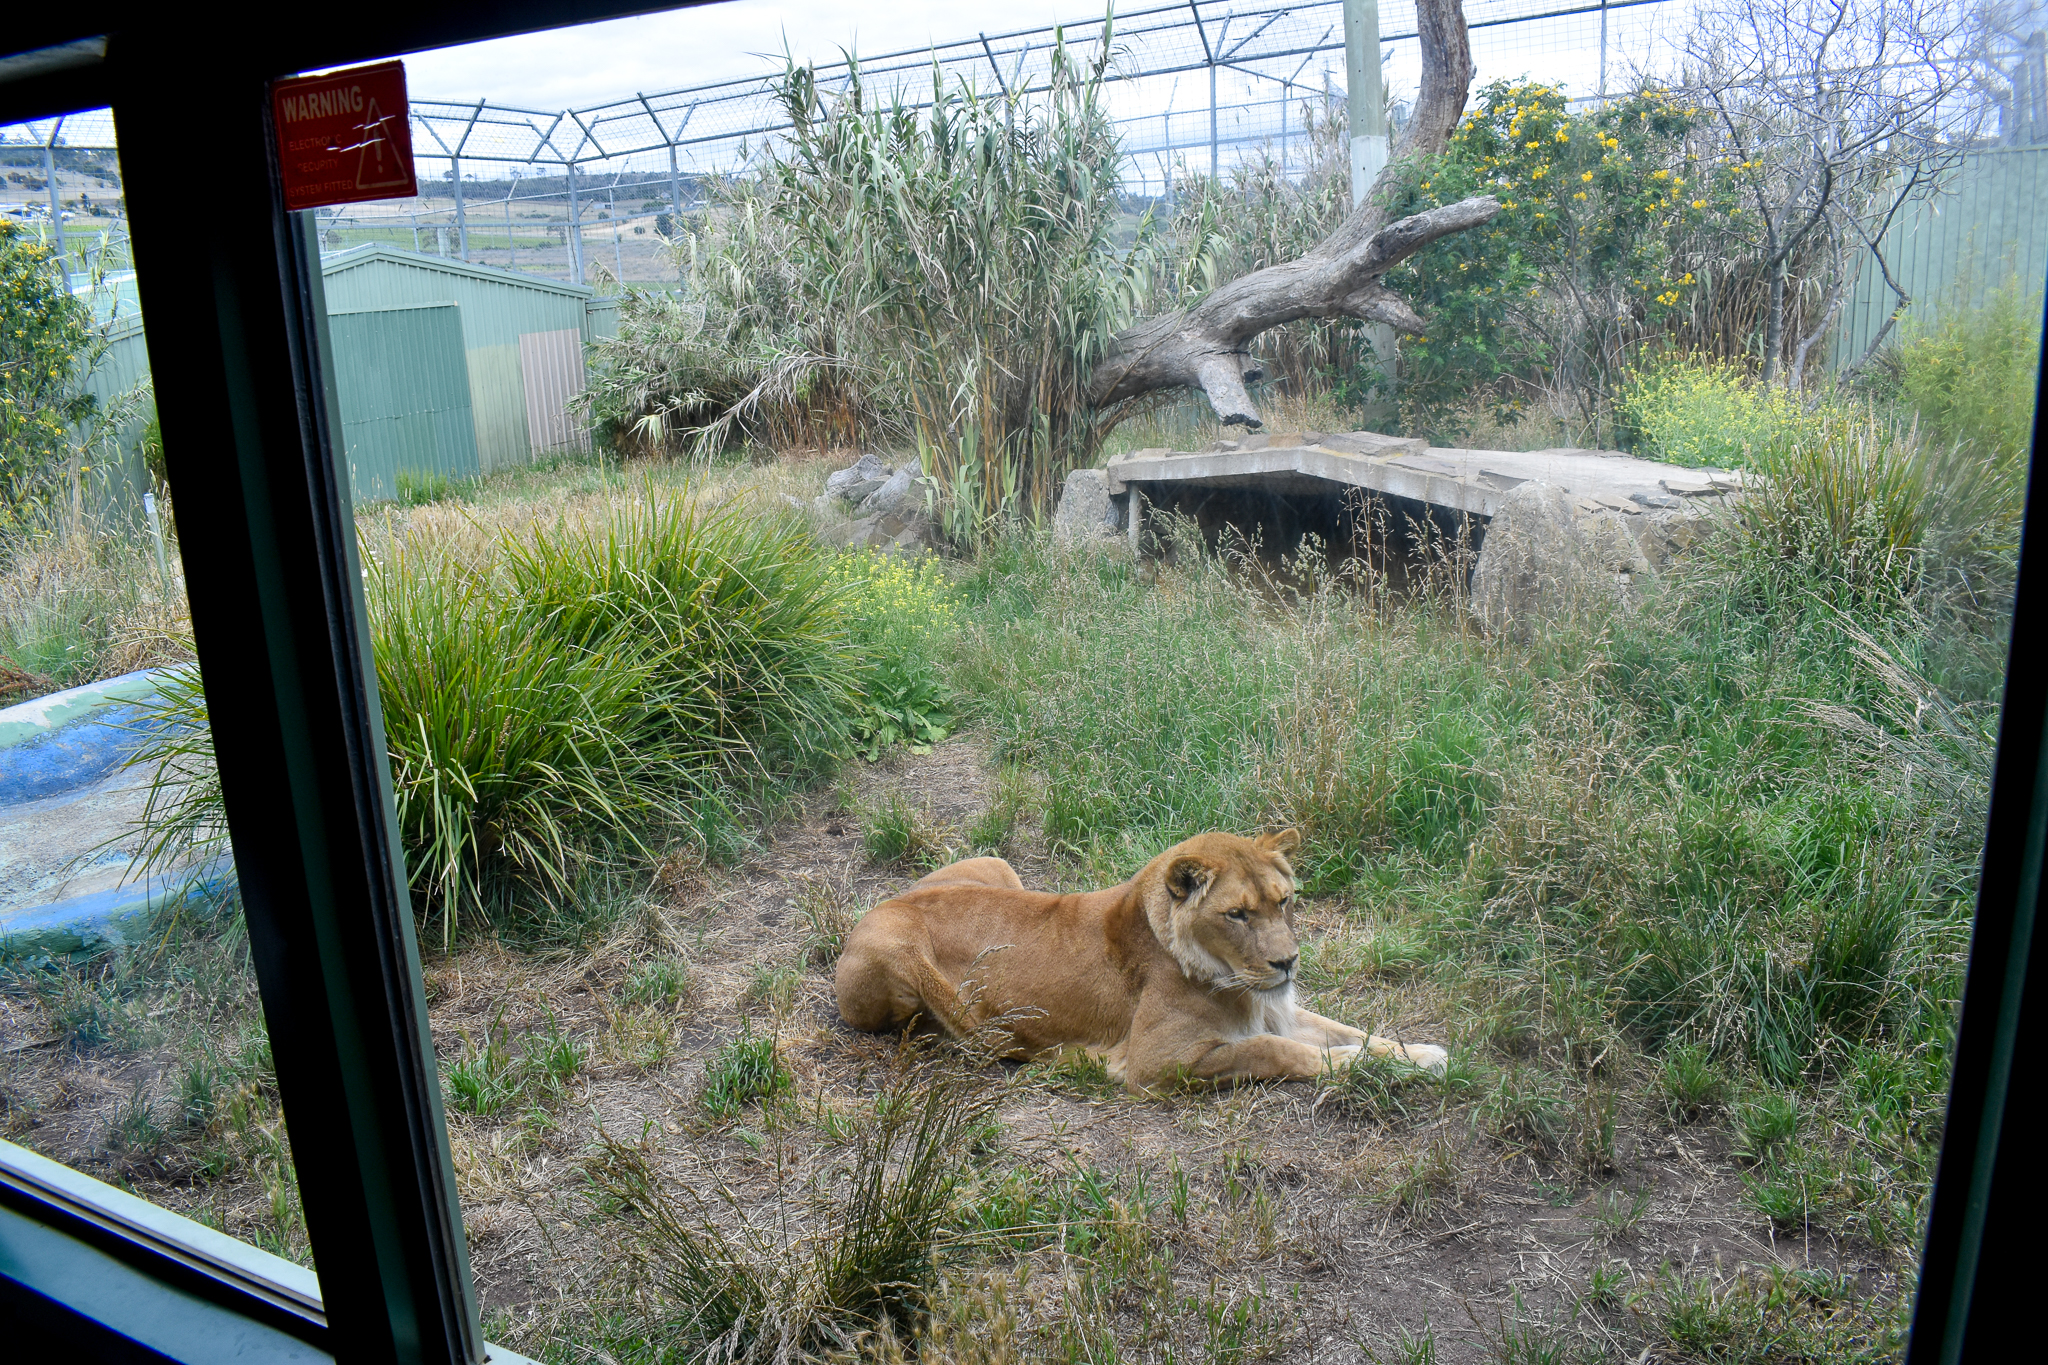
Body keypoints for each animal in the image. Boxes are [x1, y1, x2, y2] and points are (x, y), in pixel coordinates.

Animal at [834, 829, 1448, 1093]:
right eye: (1237, 914)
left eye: (1284, 900)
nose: (1288, 962)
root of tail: (876, 907)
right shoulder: (1156, 1062)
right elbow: (1276, 1051)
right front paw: (1362, 1065)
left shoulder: (1279, 1010)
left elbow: (1353, 1031)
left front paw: (1419, 1055)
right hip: (901, 954)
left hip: (995, 863)